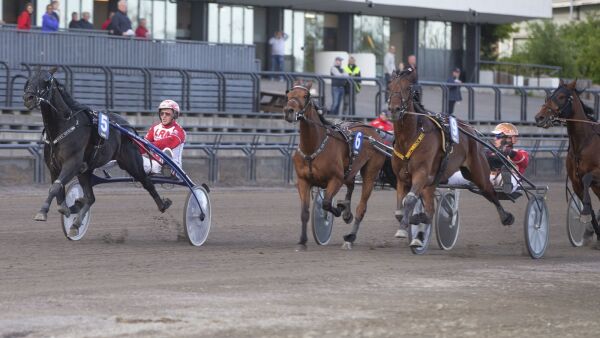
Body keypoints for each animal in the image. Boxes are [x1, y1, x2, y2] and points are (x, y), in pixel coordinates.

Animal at [23, 66, 171, 235]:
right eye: (29, 79)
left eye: (46, 80)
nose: (28, 98)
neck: (64, 126)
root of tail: (128, 127)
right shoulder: (54, 167)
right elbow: (58, 190)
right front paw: (68, 208)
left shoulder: (72, 163)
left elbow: (55, 187)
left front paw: (43, 212)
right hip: (86, 171)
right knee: (90, 197)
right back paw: (76, 223)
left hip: (131, 162)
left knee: (147, 182)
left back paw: (163, 204)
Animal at [286, 81, 390, 251]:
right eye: (288, 94)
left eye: (306, 96)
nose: (289, 111)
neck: (313, 147)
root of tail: (375, 133)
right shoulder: (303, 181)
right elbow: (305, 212)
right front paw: (302, 241)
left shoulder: (335, 179)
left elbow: (327, 203)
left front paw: (339, 209)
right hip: (350, 170)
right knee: (351, 186)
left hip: (370, 172)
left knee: (362, 207)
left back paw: (350, 237)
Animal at [392, 68, 512, 246]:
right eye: (389, 87)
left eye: (407, 88)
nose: (394, 109)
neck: (410, 138)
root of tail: (471, 130)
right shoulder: (402, 178)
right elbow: (400, 210)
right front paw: (413, 220)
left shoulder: (421, 174)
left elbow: (410, 200)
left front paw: (405, 226)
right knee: (430, 207)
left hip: (479, 173)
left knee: (490, 192)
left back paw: (506, 217)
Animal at [536, 79, 600, 242]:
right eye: (550, 96)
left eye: (561, 97)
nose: (539, 117)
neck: (584, 143)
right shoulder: (576, 182)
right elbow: (589, 207)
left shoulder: (597, 174)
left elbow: (587, 178)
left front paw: (584, 213)